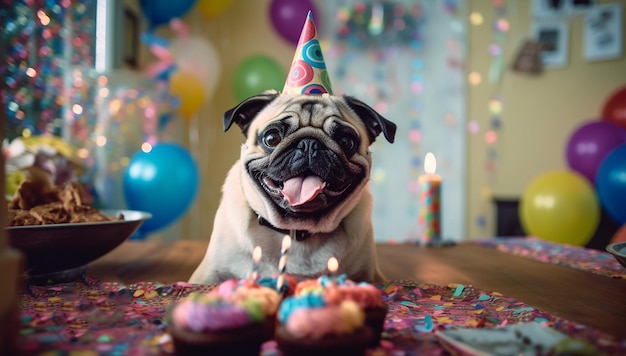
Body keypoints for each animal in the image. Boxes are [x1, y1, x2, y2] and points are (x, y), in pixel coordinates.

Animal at [189, 90, 394, 286]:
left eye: (346, 142)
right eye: (271, 138)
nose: (309, 143)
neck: (295, 230)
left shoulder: (370, 275)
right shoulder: (208, 275)